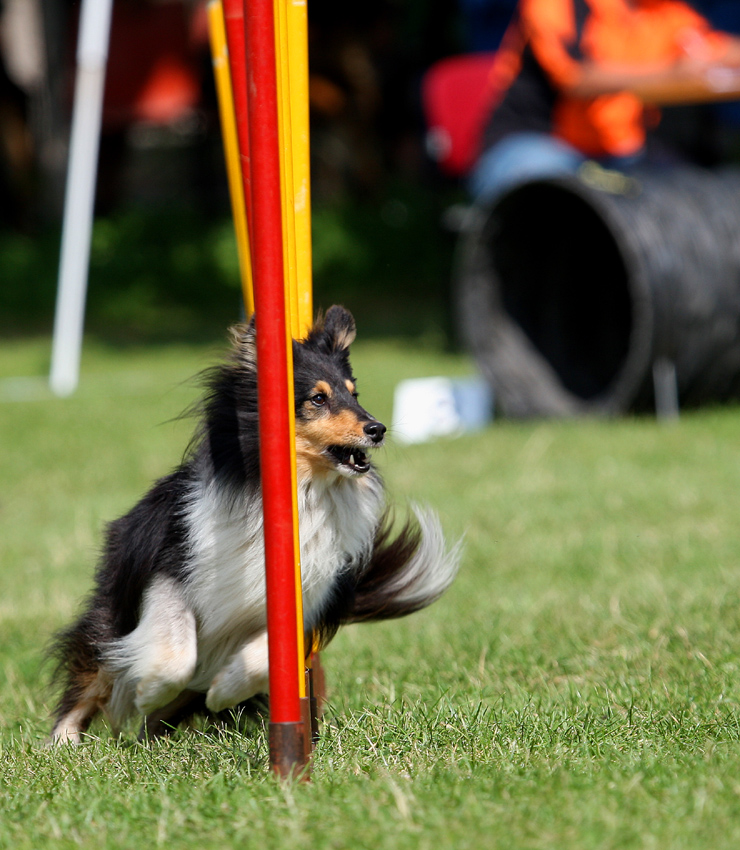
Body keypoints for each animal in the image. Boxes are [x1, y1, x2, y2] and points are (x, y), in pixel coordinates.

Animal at [49, 306, 460, 744]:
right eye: (318, 398)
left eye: (354, 394)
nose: (378, 429)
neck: (308, 491)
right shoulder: (172, 568)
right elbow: (178, 653)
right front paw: (149, 690)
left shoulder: (307, 596)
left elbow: (265, 660)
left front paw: (222, 690)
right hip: (115, 611)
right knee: (91, 675)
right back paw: (64, 743)